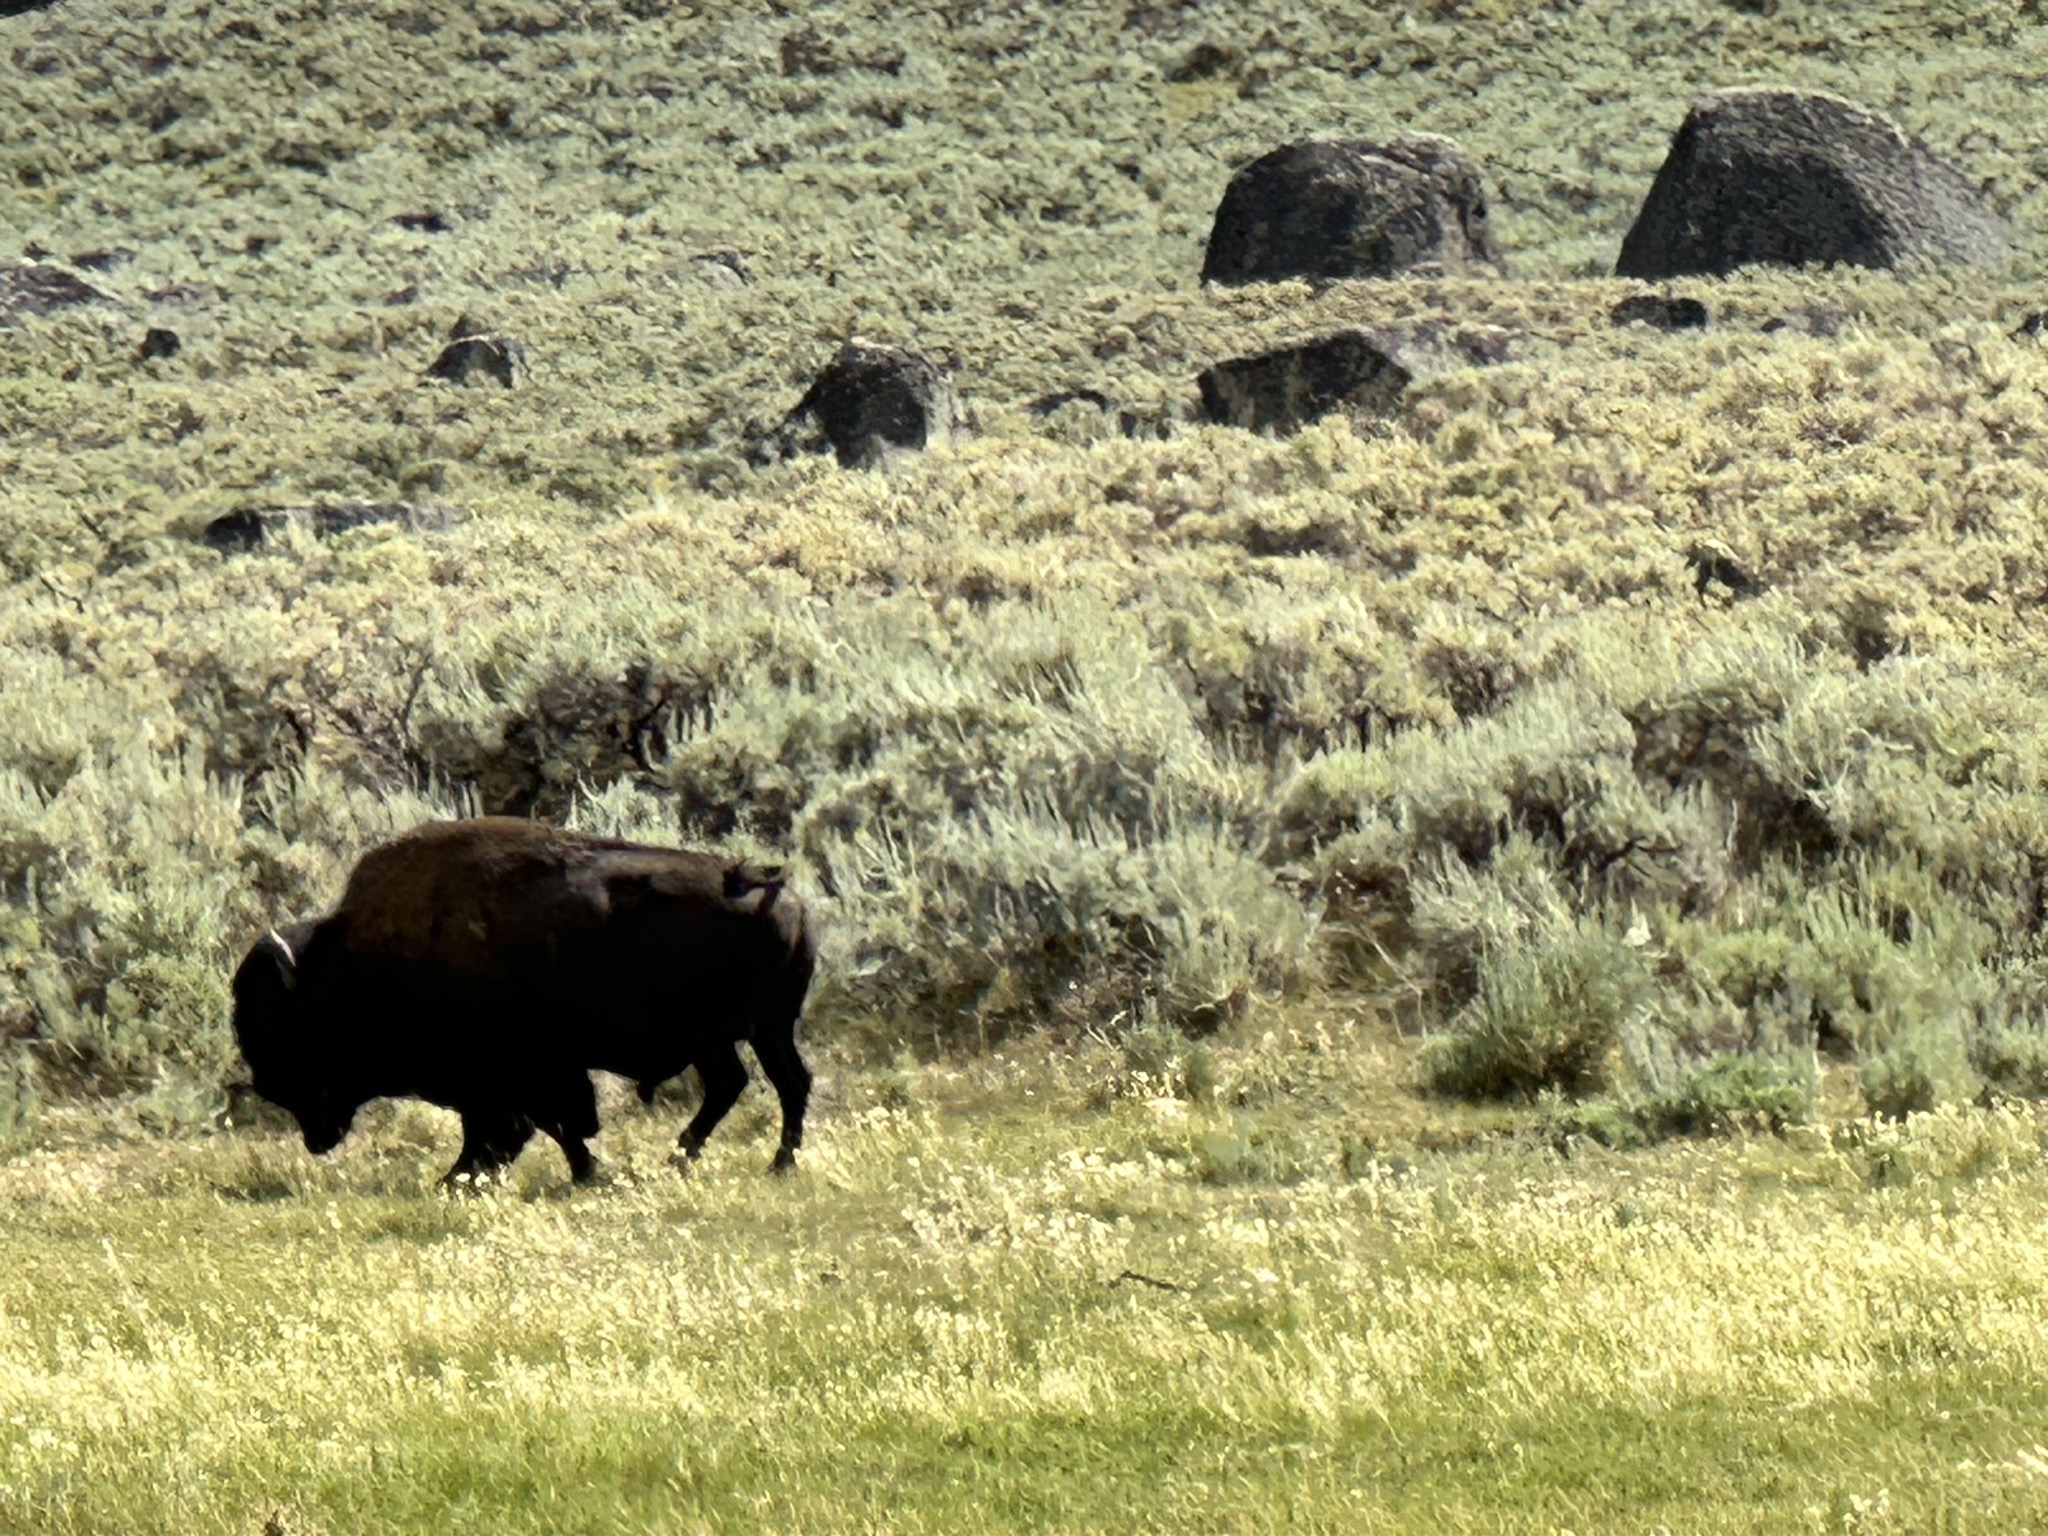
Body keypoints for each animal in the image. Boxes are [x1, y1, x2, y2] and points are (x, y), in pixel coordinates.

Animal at [231, 817, 817, 1184]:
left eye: (281, 1021)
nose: (265, 1084)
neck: (354, 959)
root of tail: (775, 890)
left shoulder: (514, 1075)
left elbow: (535, 1125)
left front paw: (465, 1177)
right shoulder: (506, 1080)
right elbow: (538, 1127)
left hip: (742, 1032)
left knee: (768, 1085)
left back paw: (764, 1163)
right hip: (746, 1033)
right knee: (758, 1084)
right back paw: (702, 1161)